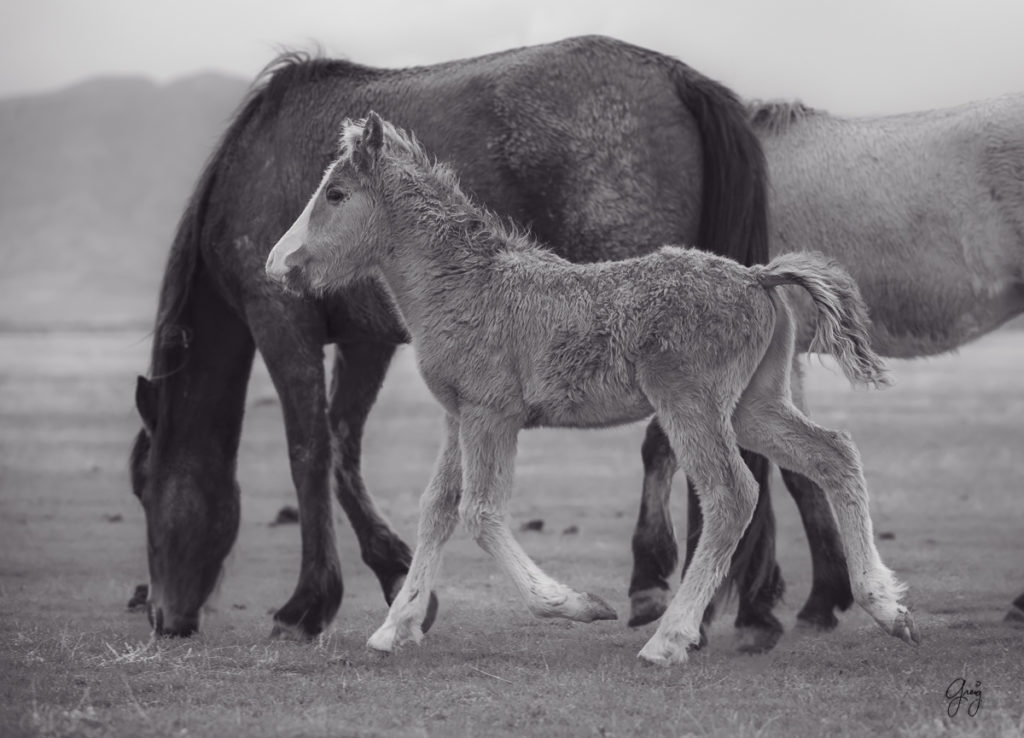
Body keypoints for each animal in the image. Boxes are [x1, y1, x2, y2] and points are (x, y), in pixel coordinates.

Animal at [132, 36, 778, 638]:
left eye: (142, 487)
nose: (162, 616)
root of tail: (678, 76)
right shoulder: (367, 341)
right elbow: (345, 446)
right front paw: (400, 583)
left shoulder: (281, 318)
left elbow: (310, 450)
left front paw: (307, 606)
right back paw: (745, 607)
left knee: (675, 450)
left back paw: (659, 591)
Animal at [264, 112, 921, 663]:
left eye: (336, 194)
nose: (276, 263)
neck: (465, 285)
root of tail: (759, 277)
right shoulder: (459, 416)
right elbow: (437, 510)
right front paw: (394, 627)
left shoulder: (491, 415)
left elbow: (480, 512)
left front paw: (574, 604)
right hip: (752, 405)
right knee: (834, 453)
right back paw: (887, 606)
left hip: (691, 404)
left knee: (732, 494)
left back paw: (669, 639)